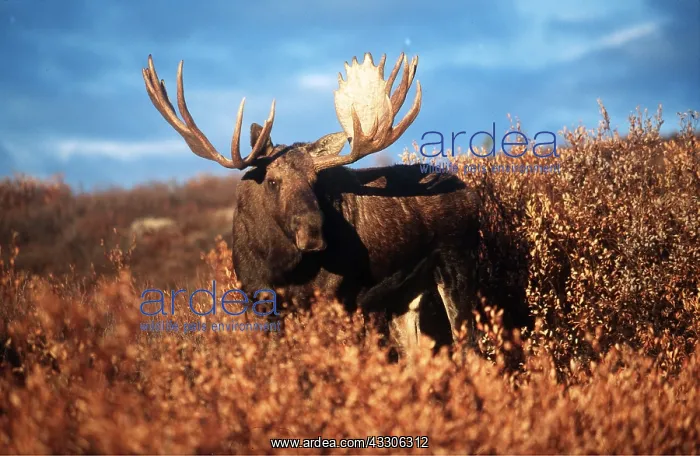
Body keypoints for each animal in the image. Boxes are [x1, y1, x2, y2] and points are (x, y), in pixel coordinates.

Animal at [141, 52, 483, 357]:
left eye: (315, 181)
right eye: (272, 181)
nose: (313, 234)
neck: (281, 267)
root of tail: (469, 190)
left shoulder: (336, 298)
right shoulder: (259, 300)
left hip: (458, 265)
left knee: (467, 345)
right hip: (405, 294)